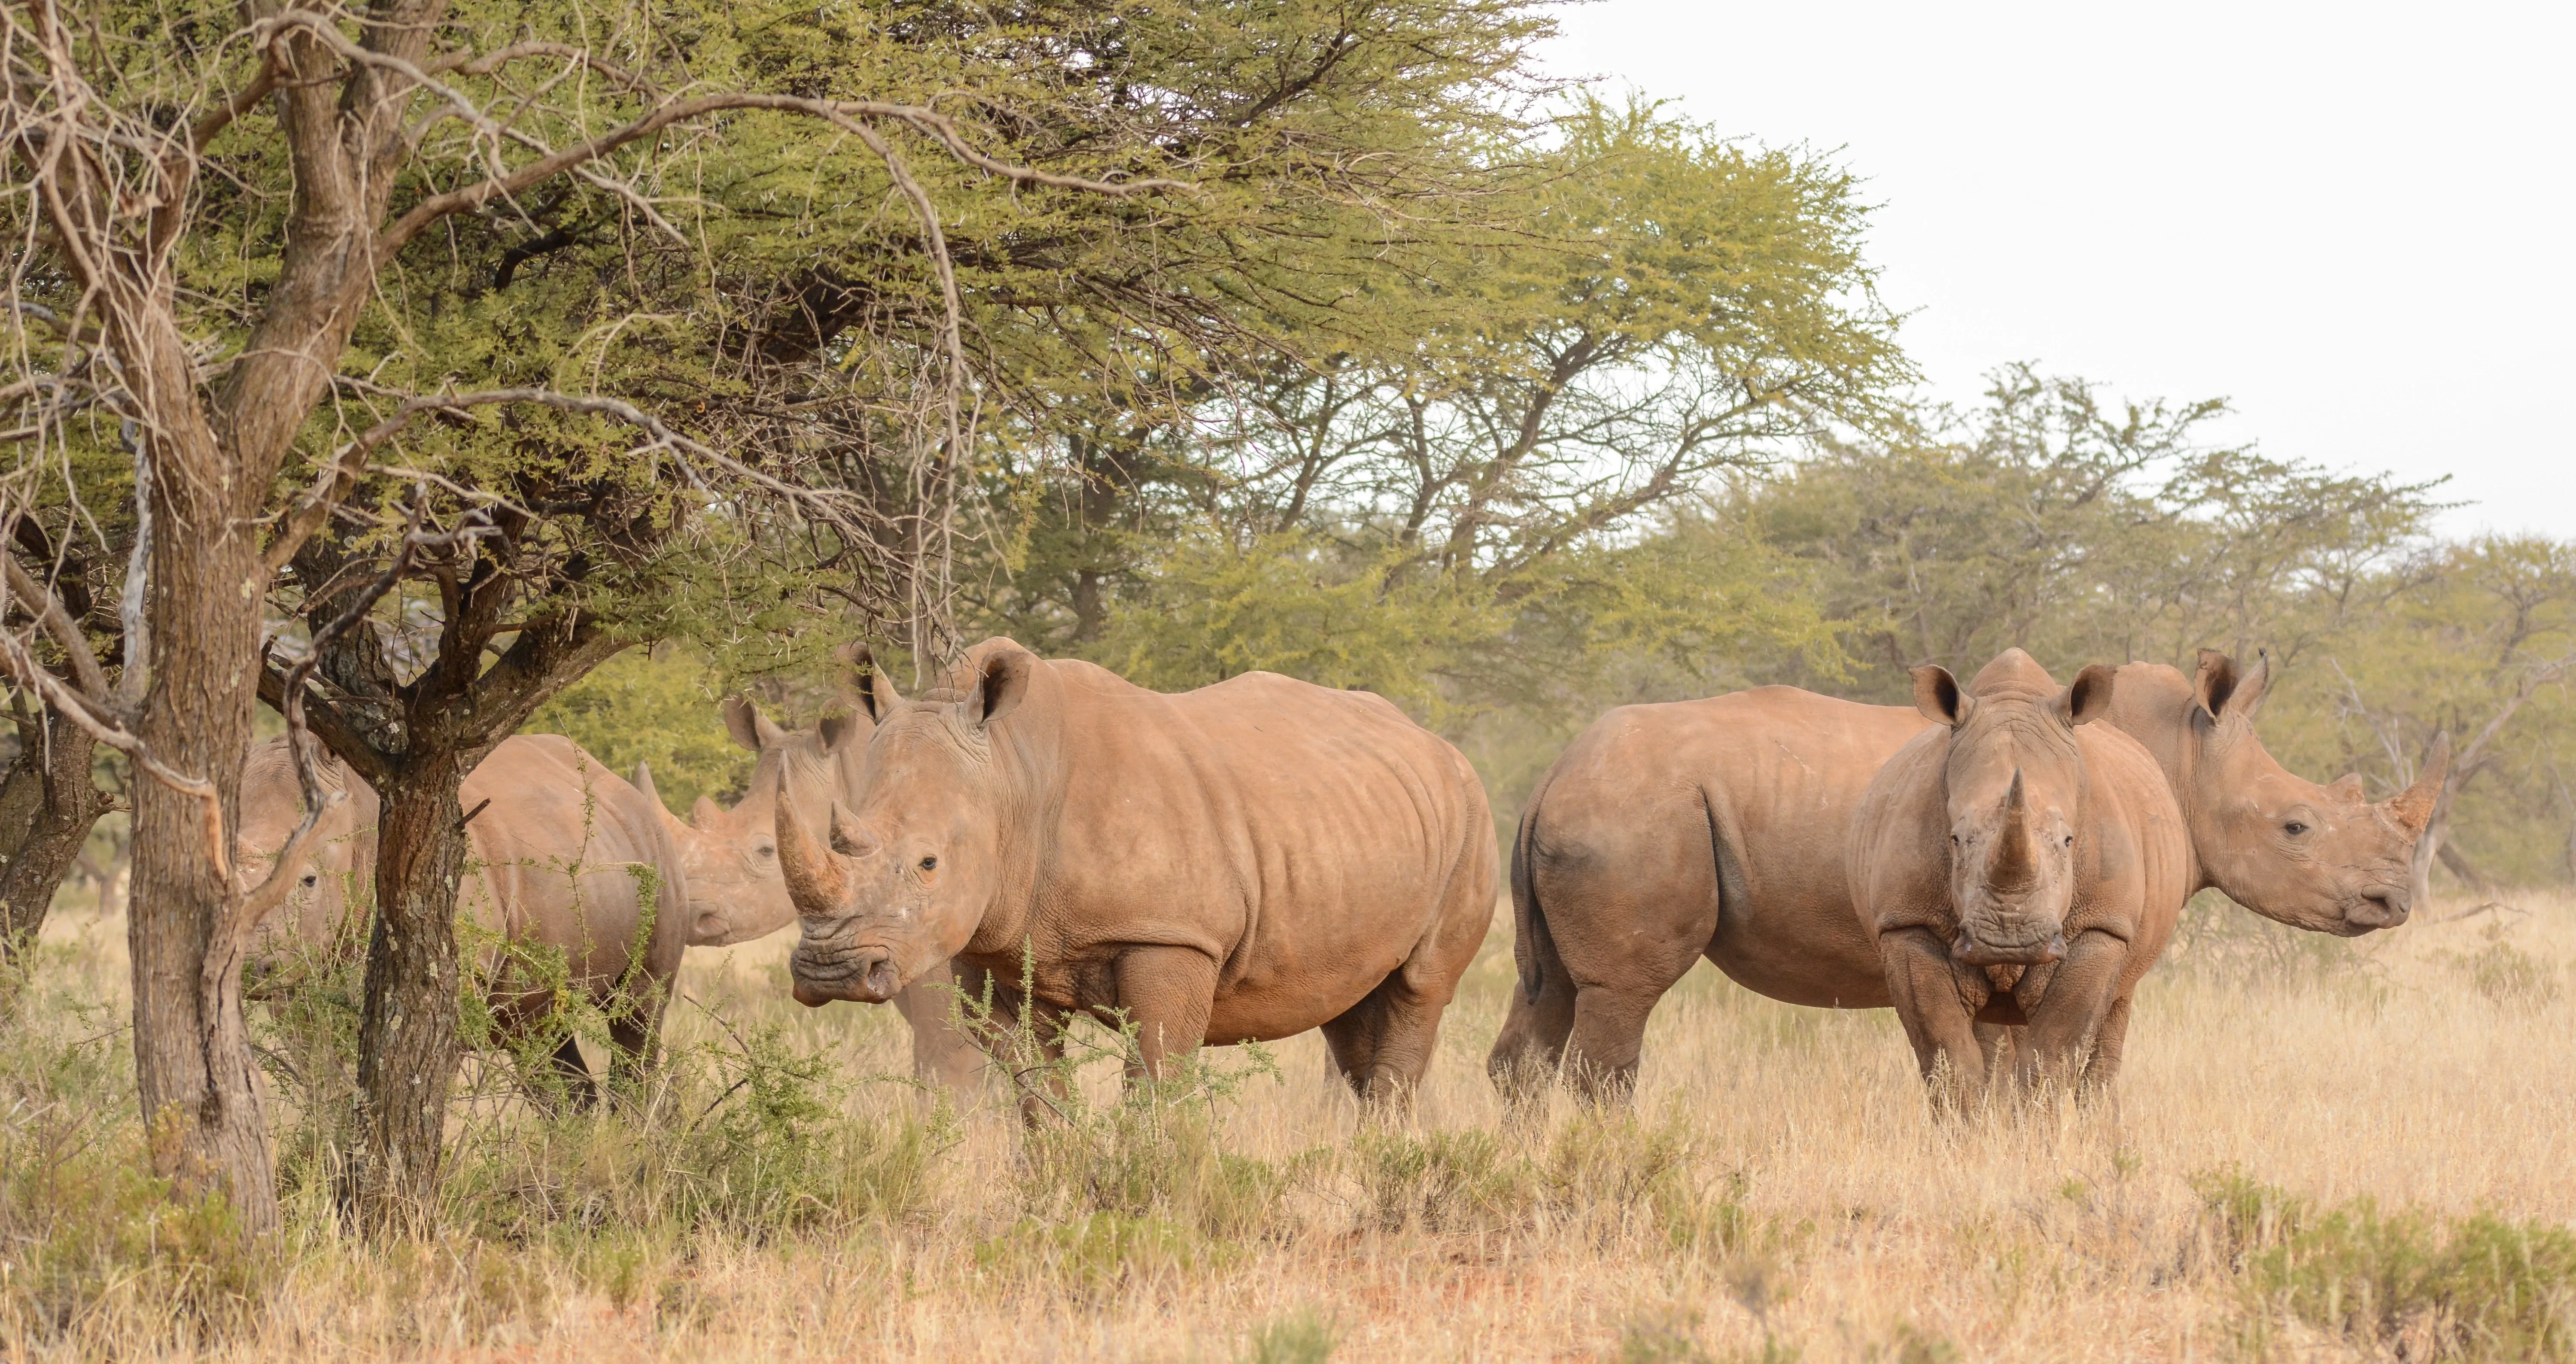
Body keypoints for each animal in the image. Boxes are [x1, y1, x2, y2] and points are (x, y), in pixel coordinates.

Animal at [238, 733, 688, 1100]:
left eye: (309, 880)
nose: (251, 968)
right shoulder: (297, 987)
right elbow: (324, 1087)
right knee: (540, 1037)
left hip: (658, 857)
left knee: (639, 1015)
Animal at [774, 638, 1497, 1104]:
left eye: (928, 863)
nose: (829, 971)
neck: (1012, 774)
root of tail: (1439, 747)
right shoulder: (992, 943)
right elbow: (1035, 1088)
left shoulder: (1171, 936)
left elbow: (1153, 1077)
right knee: (1350, 1010)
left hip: (1471, 816)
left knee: (1418, 991)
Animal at [1488, 648, 2446, 1100]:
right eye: (2295, 826)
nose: (2391, 901)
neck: (2178, 755)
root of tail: (1550, 775)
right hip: (1635, 813)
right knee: (1622, 995)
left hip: (1592, 812)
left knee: (1547, 993)